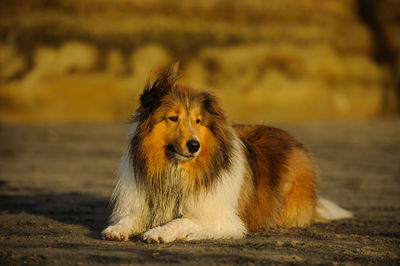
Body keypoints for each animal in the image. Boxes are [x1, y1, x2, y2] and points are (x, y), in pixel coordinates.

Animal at [101, 64, 352, 243]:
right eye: (173, 117)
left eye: (198, 121)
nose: (194, 145)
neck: (175, 170)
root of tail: (295, 140)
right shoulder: (142, 205)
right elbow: (130, 218)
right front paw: (116, 229)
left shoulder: (220, 219)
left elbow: (182, 221)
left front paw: (158, 232)